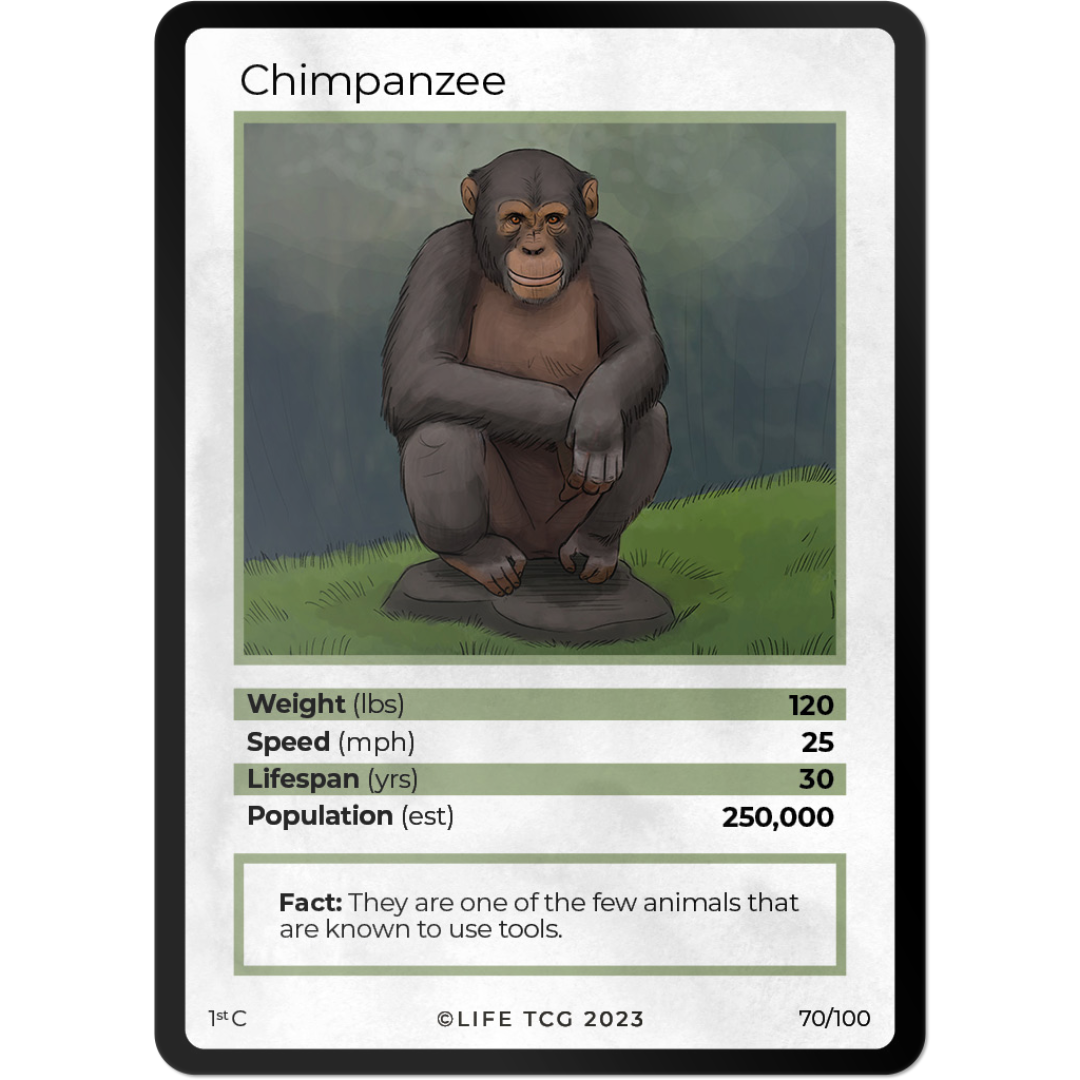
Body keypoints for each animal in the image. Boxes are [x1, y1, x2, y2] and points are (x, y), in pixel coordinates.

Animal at [382, 148, 670, 597]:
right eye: (515, 219)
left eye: (553, 219)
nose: (534, 249)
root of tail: (540, 556)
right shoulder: (439, 256)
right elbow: (419, 371)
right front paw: (569, 417)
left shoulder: (613, 251)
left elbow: (638, 343)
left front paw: (598, 420)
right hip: (510, 524)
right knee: (442, 431)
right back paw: (477, 556)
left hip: (565, 528)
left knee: (648, 416)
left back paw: (595, 546)